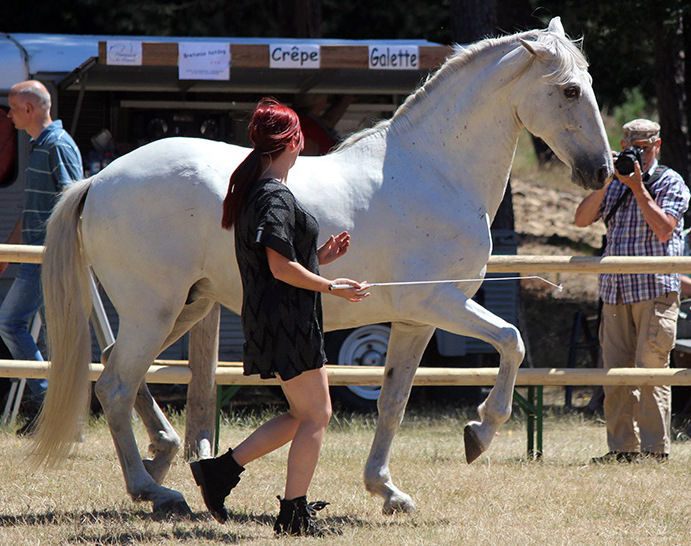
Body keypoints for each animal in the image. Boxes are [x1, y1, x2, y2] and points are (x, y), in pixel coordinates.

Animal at [35, 18, 612, 516]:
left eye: (589, 82)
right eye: (568, 91)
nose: (603, 170)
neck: (434, 172)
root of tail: (99, 180)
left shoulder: (415, 321)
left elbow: (393, 402)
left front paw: (387, 490)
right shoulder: (438, 301)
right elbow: (512, 341)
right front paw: (480, 433)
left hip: (184, 308)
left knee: (118, 370)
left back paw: (164, 459)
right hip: (154, 311)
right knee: (114, 386)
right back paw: (154, 489)